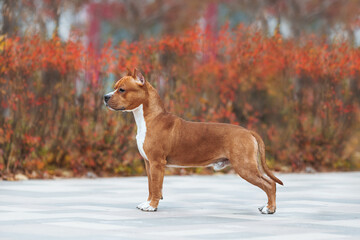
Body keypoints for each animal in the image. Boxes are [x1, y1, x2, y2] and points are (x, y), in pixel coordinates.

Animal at [102, 67, 282, 214]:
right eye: (115, 87)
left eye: (122, 89)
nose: (105, 97)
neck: (150, 118)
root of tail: (248, 131)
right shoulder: (148, 163)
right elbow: (150, 186)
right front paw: (147, 203)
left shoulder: (157, 163)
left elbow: (156, 186)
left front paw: (152, 206)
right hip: (249, 166)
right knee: (269, 183)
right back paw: (268, 206)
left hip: (245, 167)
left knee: (269, 185)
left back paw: (269, 209)